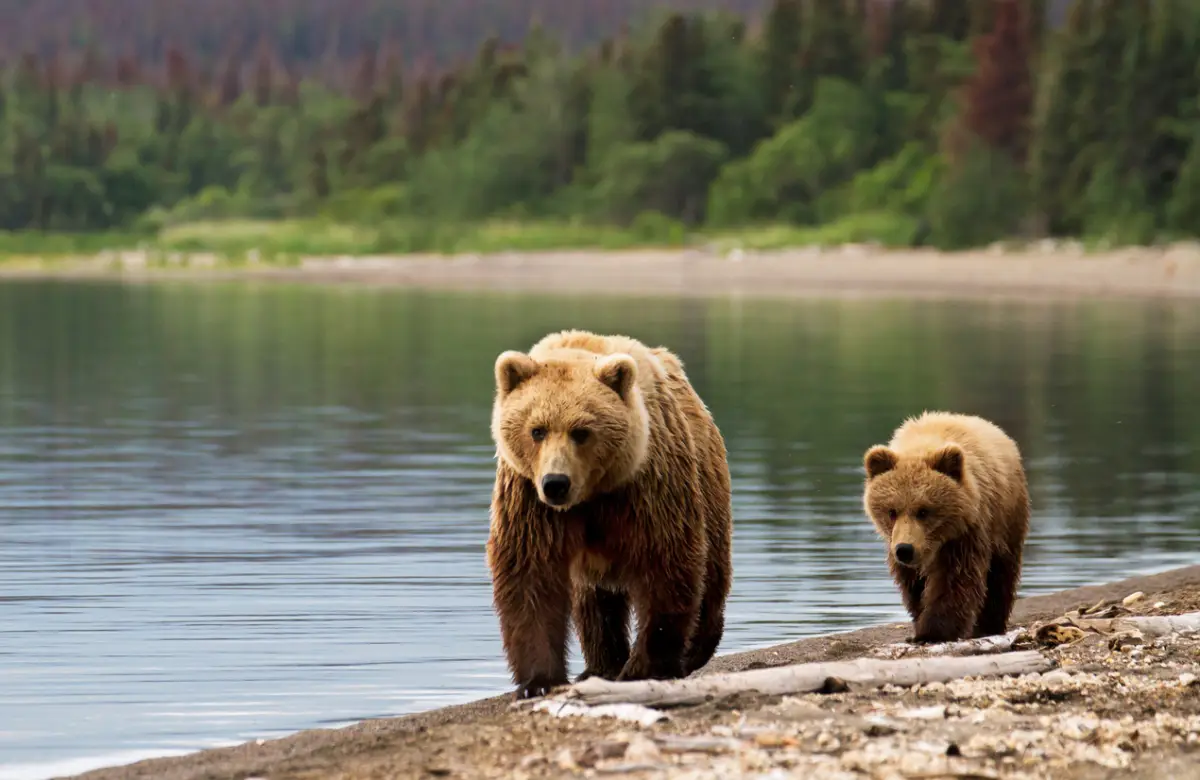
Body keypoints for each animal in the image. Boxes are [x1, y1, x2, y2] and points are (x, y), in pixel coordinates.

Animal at [486, 329, 733, 701]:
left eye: (581, 431)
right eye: (537, 430)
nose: (555, 483)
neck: (591, 494)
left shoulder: (645, 488)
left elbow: (666, 563)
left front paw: (646, 667)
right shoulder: (529, 499)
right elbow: (530, 575)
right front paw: (538, 681)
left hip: (708, 487)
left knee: (711, 575)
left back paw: (694, 649)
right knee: (593, 603)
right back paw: (600, 665)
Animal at [861, 411, 1030, 644]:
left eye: (924, 511)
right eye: (891, 511)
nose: (905, 550)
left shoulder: (965, 533)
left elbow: (954, 579)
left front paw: (933, 632)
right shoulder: (897, 543)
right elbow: (914, 585)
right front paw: (920, 621)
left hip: (1006, 519)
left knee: (1001, 573)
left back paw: (989, 625)